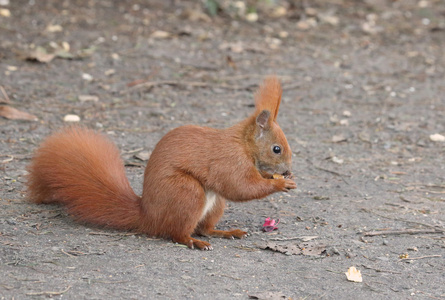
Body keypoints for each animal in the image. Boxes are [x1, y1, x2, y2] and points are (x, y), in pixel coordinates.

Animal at [26, 76, 294, 250]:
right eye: (276, 149)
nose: (287, 170)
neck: (243, 145)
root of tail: (148, 216)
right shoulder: (229, 161)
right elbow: (240, 187)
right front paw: (280, 184)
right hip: (187, 193)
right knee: (177, 233)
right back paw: (194, 242)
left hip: (214, 203)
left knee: (204, 227)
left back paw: (227, 232)